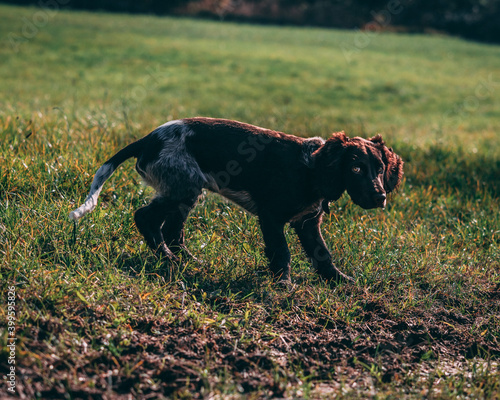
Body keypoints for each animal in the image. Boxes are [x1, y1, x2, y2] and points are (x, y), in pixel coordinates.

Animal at [69, 117, 402, 282]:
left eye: (380, 168)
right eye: (355, 168)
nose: (380, 196)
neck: (312, 170)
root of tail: (148, 139)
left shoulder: (307, 223)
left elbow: (322, 255)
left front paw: (340, 281)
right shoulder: (271, 217)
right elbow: (282, 253)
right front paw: (283, 286)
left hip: (187, 189)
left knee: (173, 230)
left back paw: (188, 262)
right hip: (182, 186)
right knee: (146, 218)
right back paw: (168, 260)